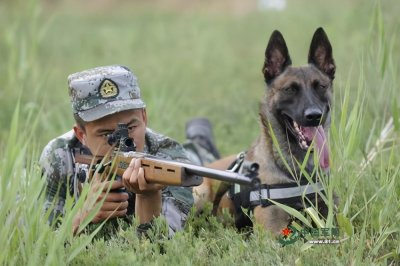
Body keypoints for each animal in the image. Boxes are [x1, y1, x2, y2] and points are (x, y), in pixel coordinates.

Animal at [194, 27, 338, 235]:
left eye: (321, 86)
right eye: (290, 89)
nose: (314, 115)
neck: (297, 171)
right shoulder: (273, 231)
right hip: (200, 194)